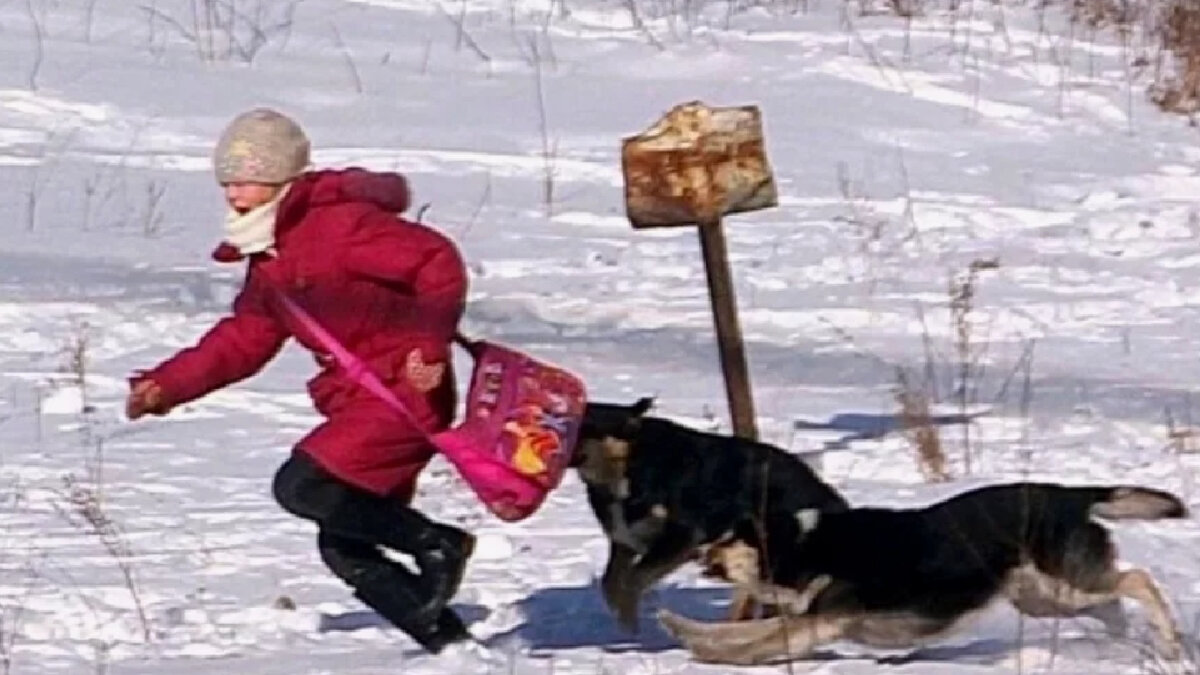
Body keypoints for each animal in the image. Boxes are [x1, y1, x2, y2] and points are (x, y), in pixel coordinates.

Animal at [573, 396, 849, 629]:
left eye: (586, 427)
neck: (631, 464)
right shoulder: (625, 541)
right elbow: (611, 583)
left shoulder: (682, 537)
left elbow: (632, 580)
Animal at [662, 478, 1185, 662]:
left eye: (729, 538)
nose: (698, 549)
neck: (804, 545)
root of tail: (1073, 494)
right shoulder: (813, 616)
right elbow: (741, 632)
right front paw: (685, 632)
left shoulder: (824, 619)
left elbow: (754, 639)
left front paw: (710, 653)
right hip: (1042, 598)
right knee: (1113, 603)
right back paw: (1126, 643)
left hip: (1063, 585)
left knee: (1138, 580)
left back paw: (1170, 641)